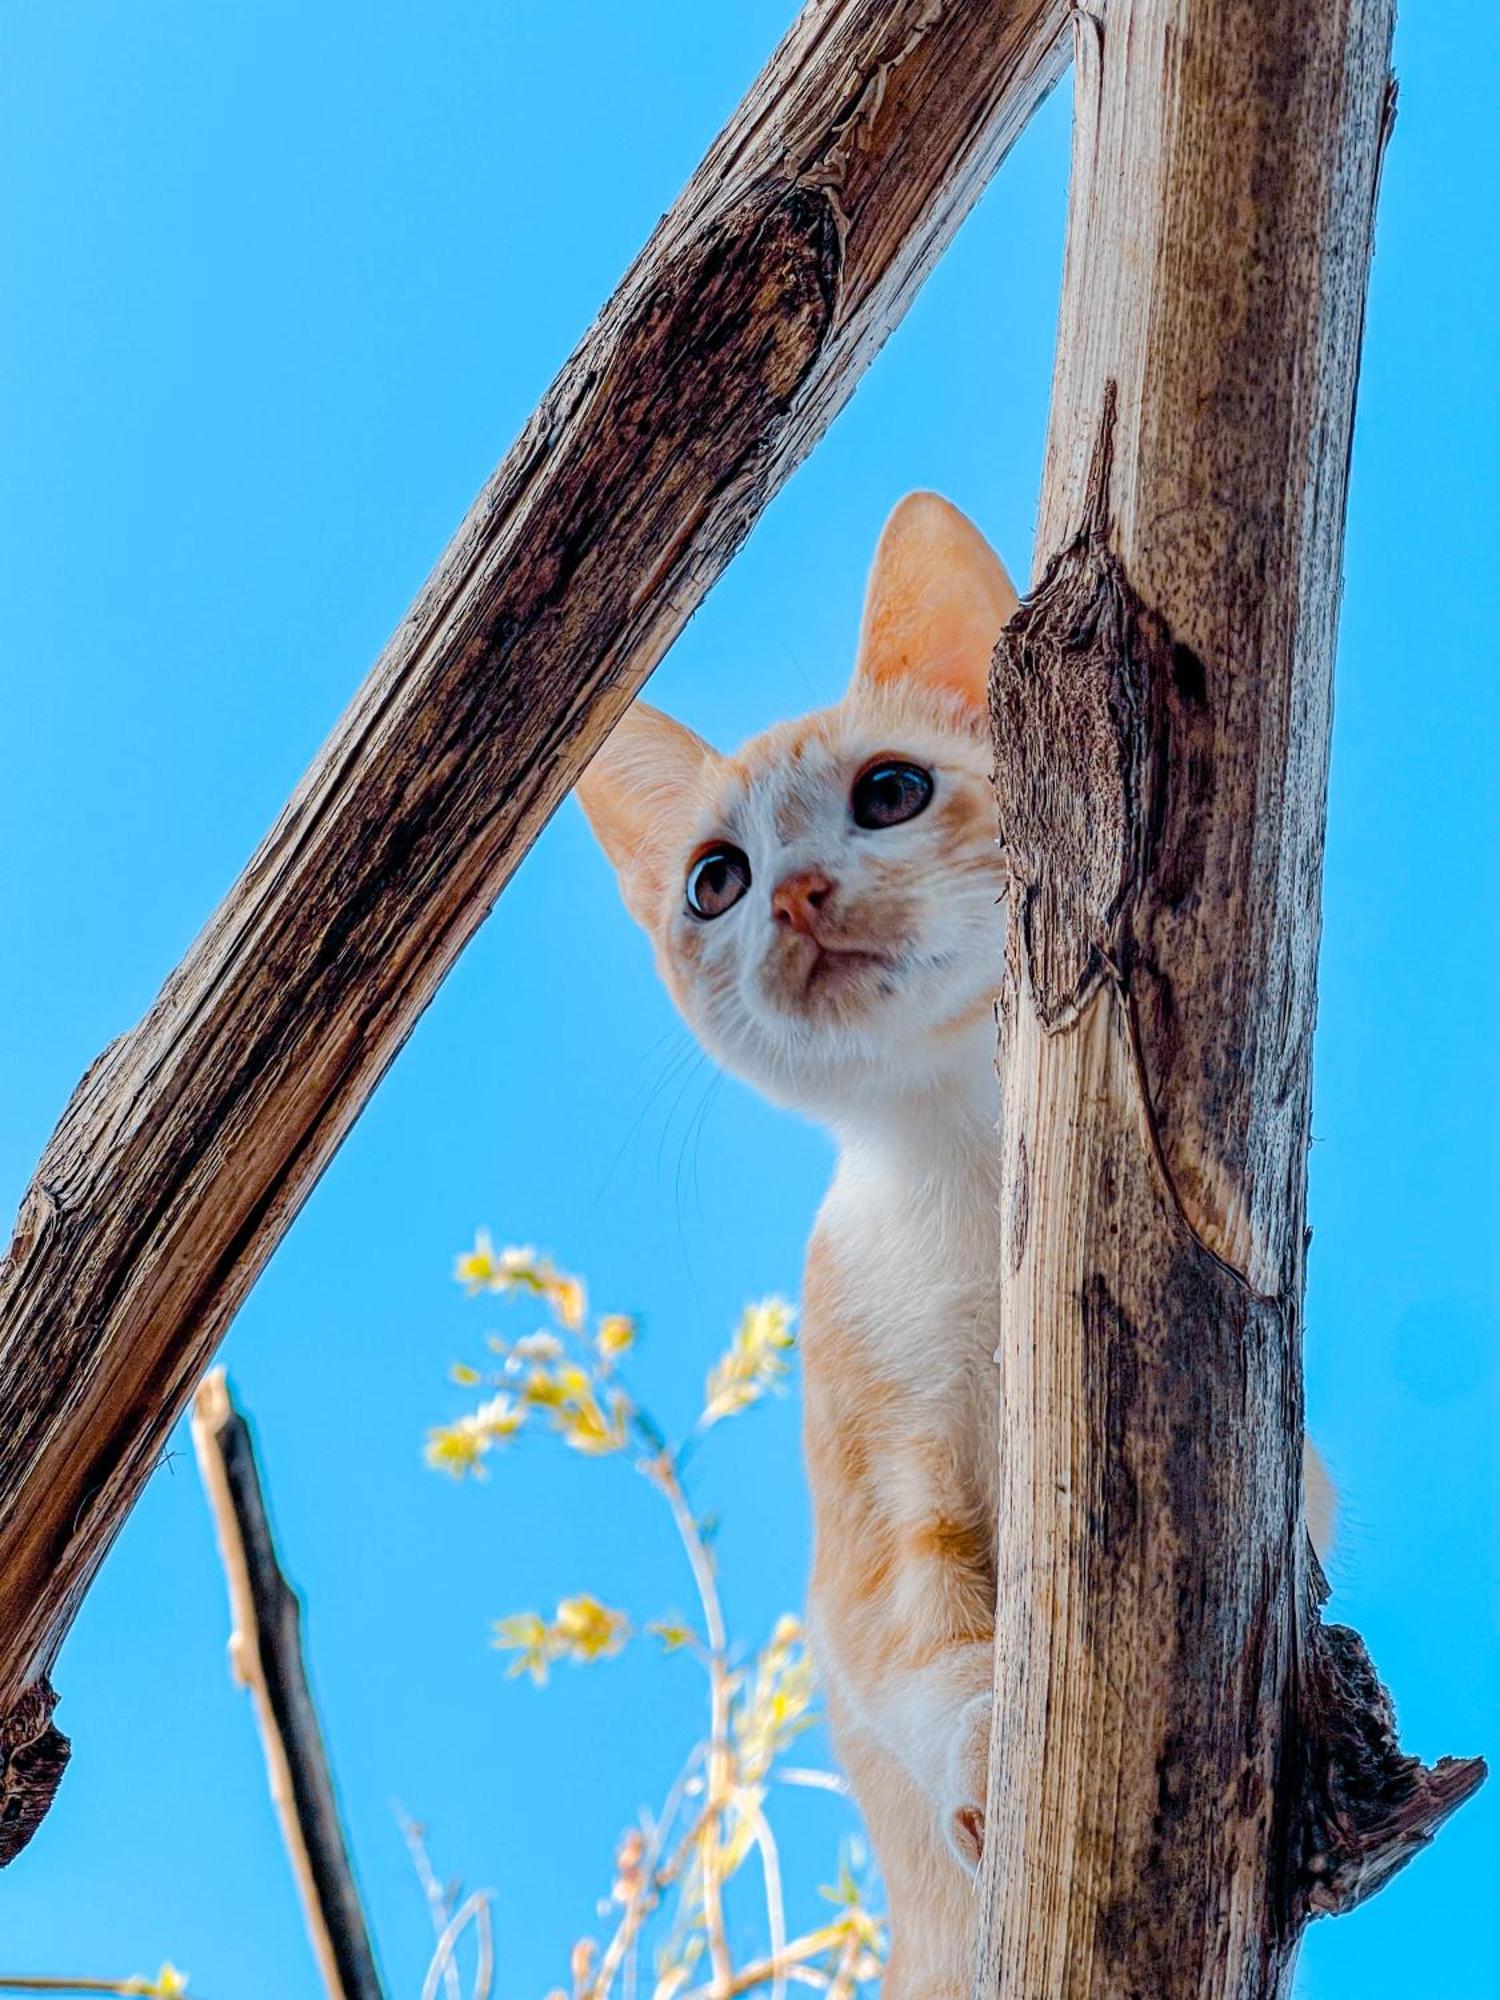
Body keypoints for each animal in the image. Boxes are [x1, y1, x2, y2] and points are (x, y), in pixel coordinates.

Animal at [580, 488, 1336, 2000]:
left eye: (890, 793)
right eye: (713, 880)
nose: (796, 893)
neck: (982, 1171)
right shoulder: (872, 1516)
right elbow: (919, 1648)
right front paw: (992, 1734)